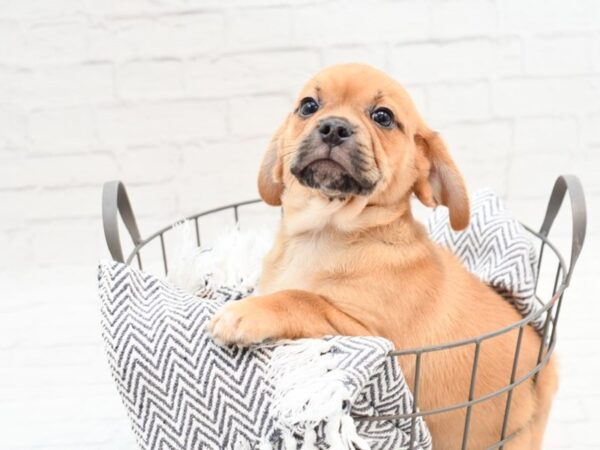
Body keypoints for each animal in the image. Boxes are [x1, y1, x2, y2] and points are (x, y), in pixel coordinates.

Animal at [207, 64, 556, 450]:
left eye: (383, 117)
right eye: (308, 106)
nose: (334, 127)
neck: (325, 232)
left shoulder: (365, 332)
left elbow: (301, 299)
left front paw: (243, 313)